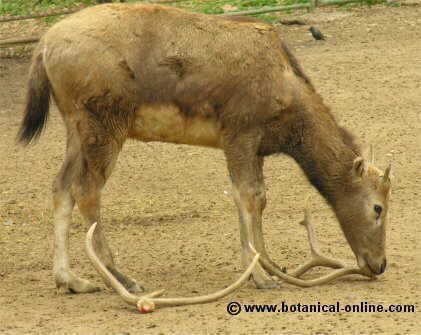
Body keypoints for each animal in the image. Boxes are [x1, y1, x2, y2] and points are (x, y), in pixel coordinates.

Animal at [16, 2, 390, 312]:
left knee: (60, 186)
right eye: (378, 207)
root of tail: (43, 47)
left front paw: (265, 267)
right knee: (87, 190)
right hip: (104, 120)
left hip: (76, 126)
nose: (379, 264)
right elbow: (248, 196)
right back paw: (123, 278)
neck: (290, 117)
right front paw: (260, 275)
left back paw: (70, 280)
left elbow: (257, 198)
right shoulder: (240, 130)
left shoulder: (254, 146)